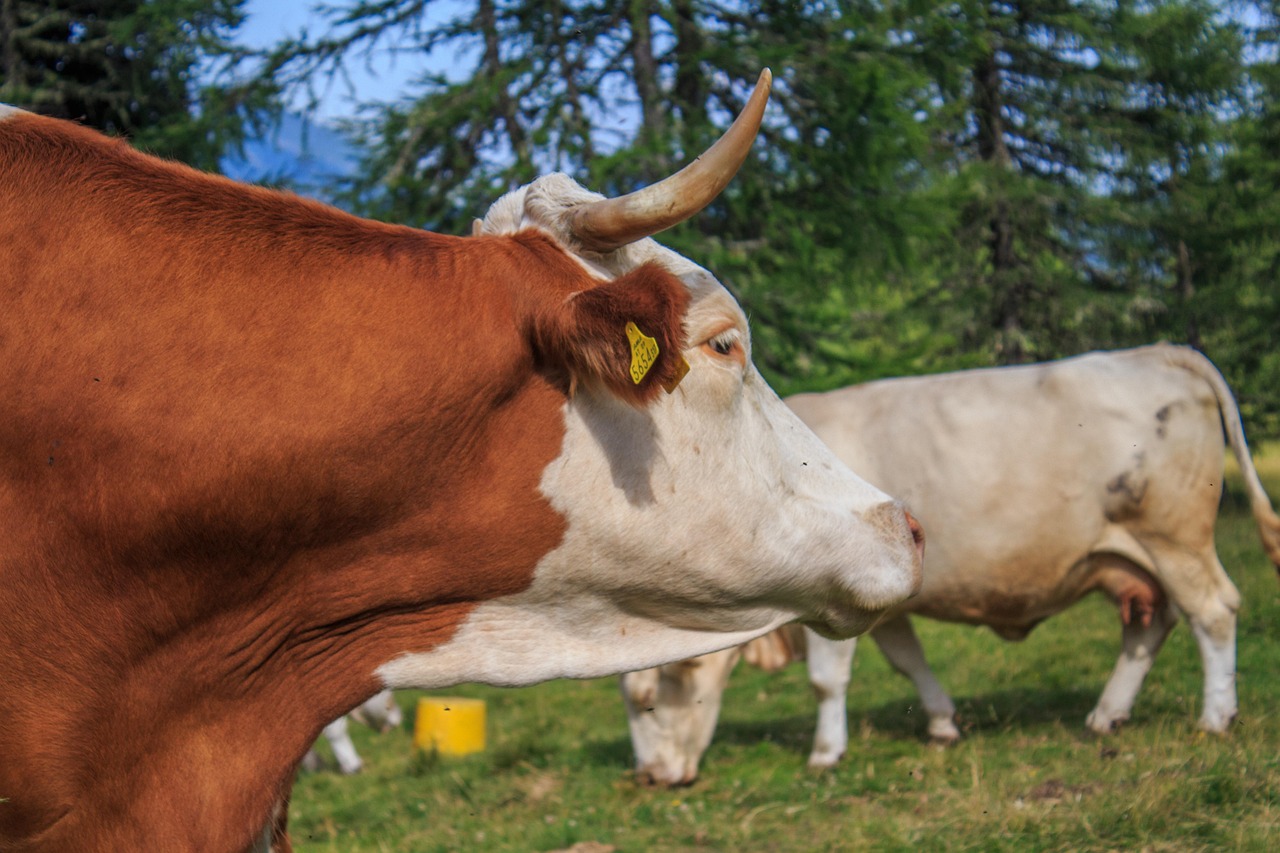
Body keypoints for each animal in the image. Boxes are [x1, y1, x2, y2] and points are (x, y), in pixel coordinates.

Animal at [624, 345, 1280, 783]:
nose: (652, 777)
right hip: (1136, 561)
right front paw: (941, 723)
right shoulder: (883, 604)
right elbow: (908, 660)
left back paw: (1215, 716)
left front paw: (826, 752)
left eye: (652, 698)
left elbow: (826, 680)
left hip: (1174, 538)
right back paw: (1106, 715)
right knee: (1150, 625)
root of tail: (1155, 352)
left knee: (1214, 612)